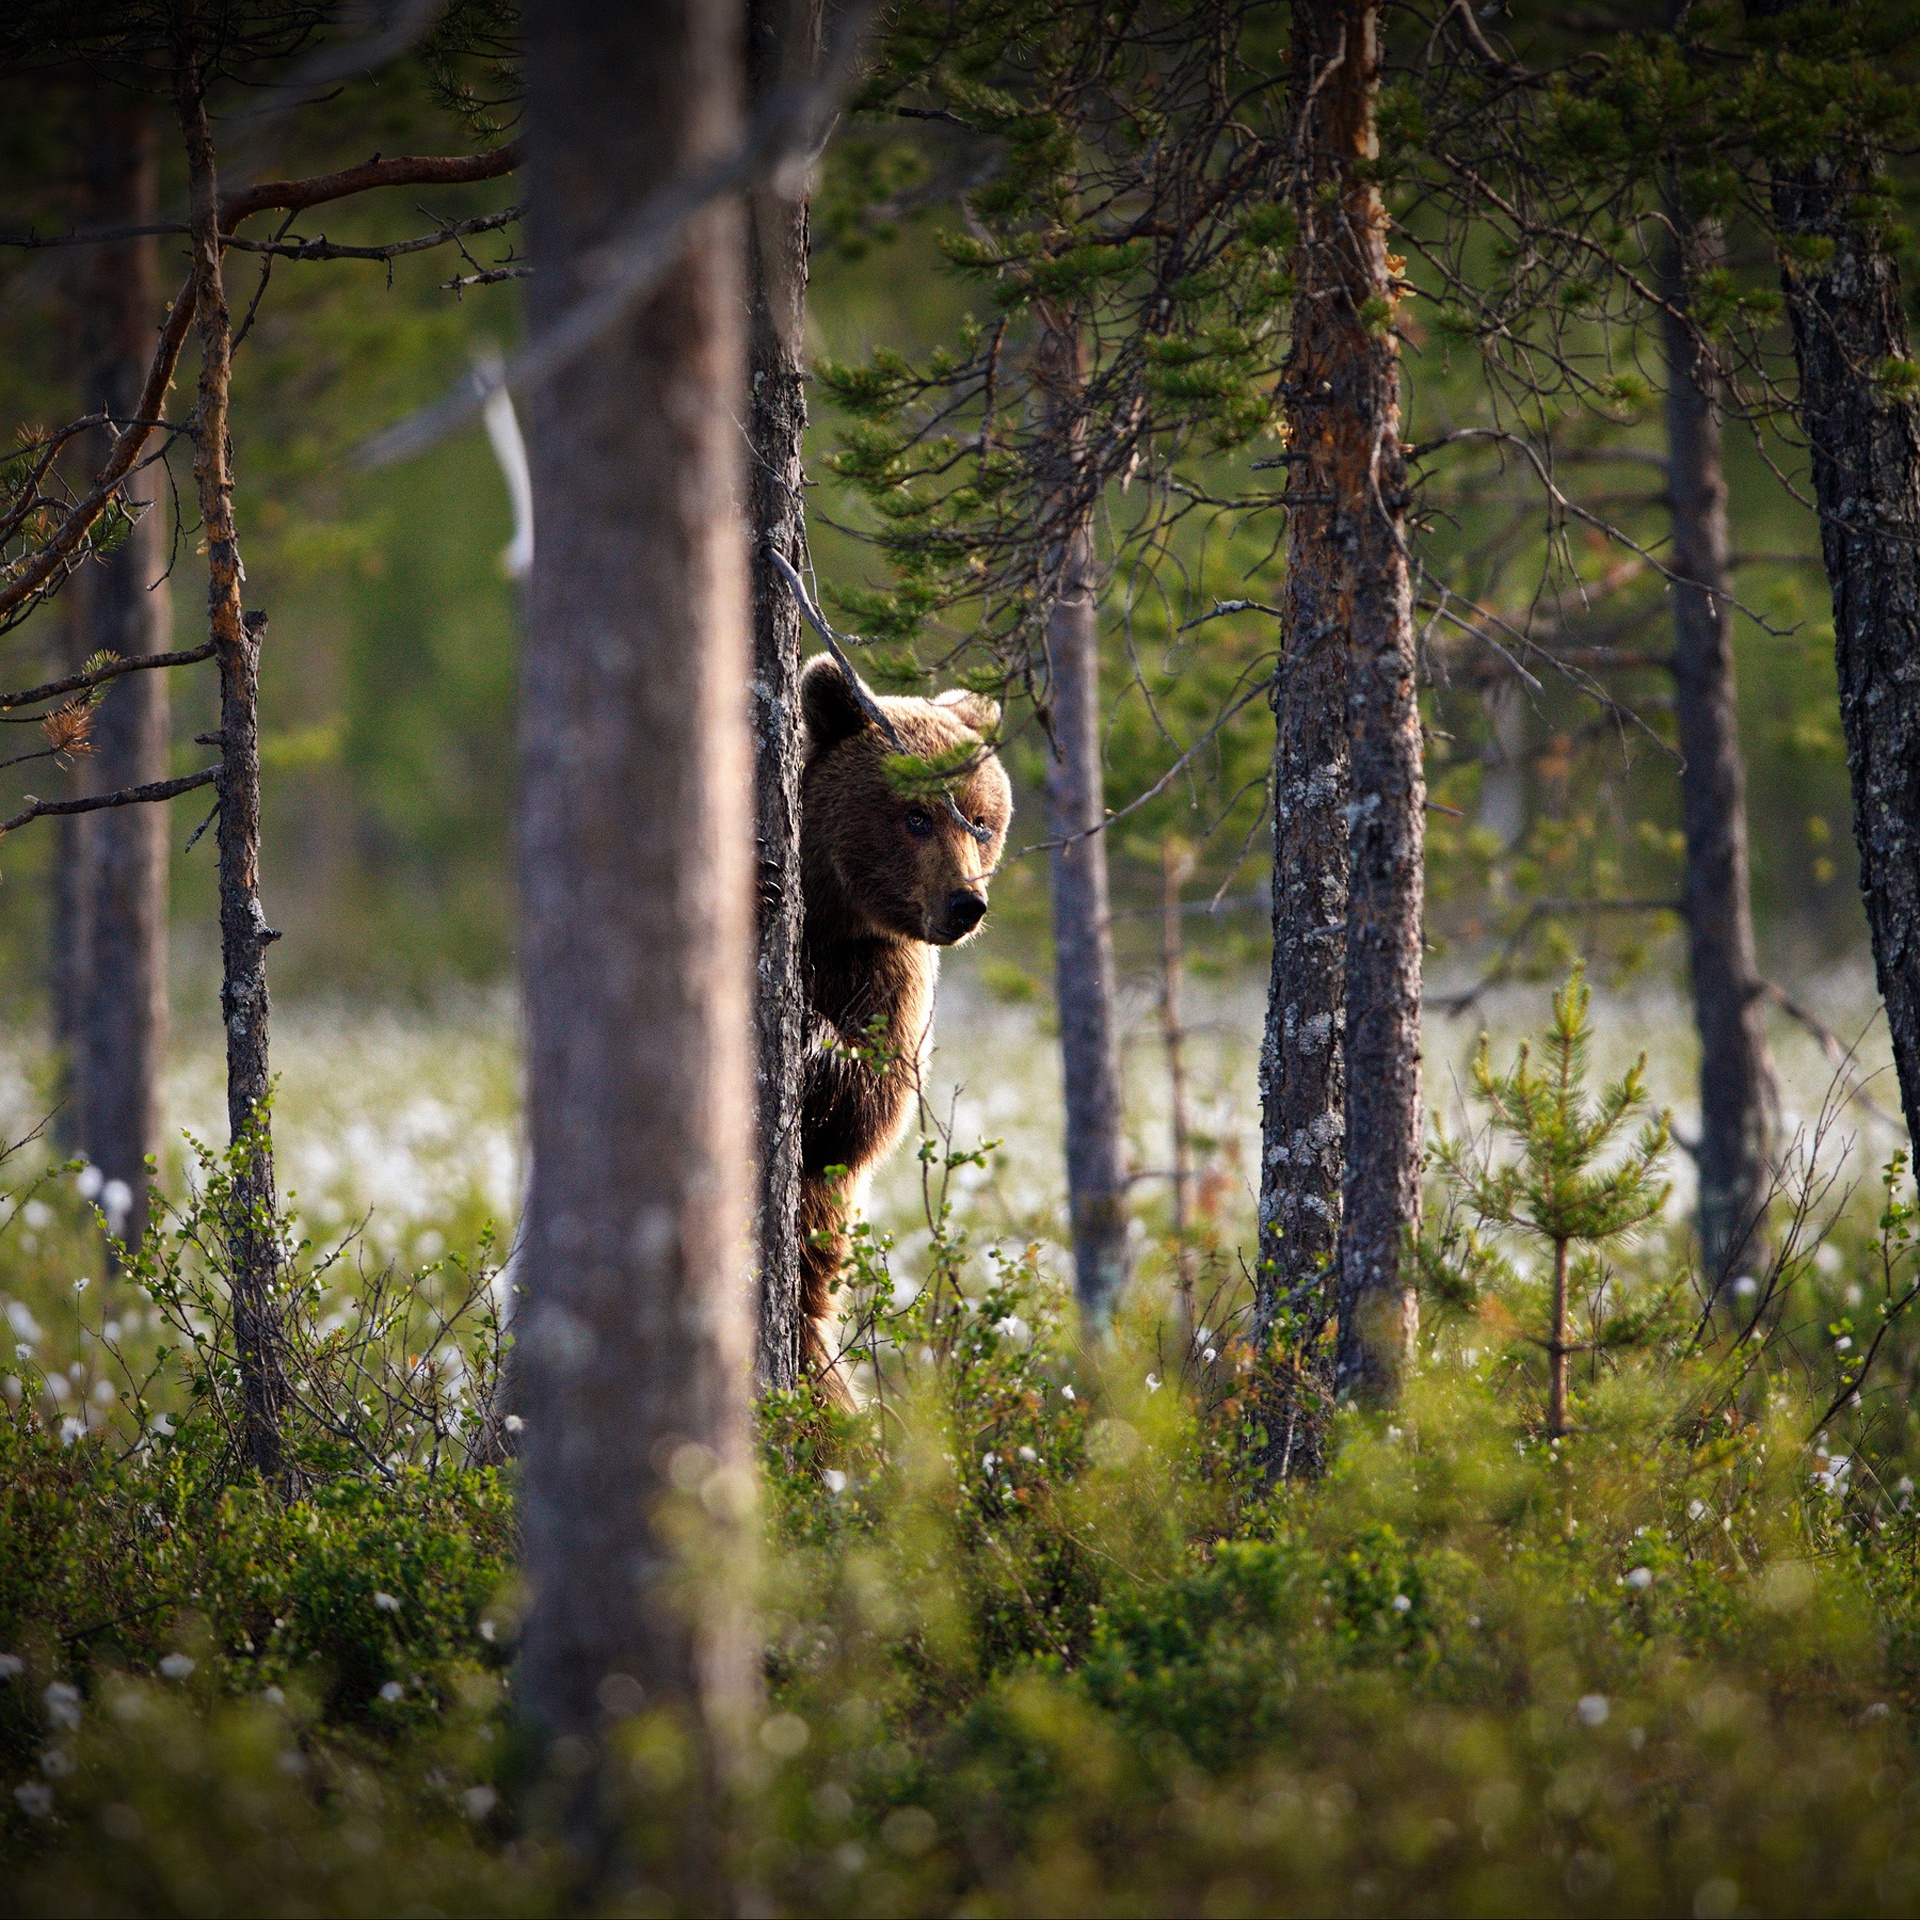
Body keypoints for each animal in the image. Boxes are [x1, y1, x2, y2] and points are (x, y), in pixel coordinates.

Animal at [794, 652, 1013, 1390]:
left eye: (980, 820)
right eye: (915, 817)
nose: (965, 903)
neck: (831, 917)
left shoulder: (890, 973)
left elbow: (873, 1105)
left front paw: (820, 1045)